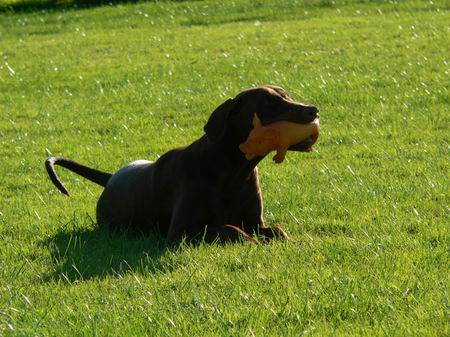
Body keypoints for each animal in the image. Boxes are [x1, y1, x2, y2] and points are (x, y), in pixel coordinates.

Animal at [45, 85, 318, 243]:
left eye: (288, 96)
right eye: (269, 102)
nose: (313, 109)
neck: (231, 170)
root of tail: (111, 177)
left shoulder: (256, 222)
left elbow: (278, 230)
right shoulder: (181, 232)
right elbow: (228, 228)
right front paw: (249, 240)